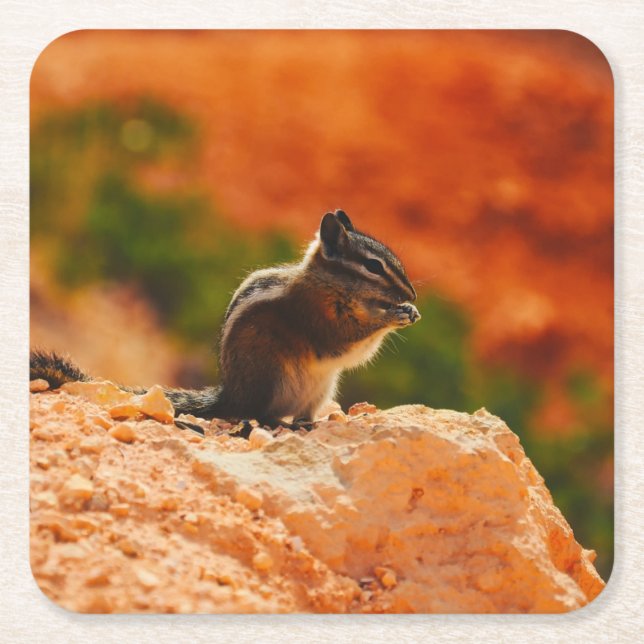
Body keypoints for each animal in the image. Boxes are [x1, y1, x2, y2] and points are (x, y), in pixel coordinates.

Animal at [30, 209, 421, 430]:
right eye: (373, 266)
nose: (413, 295)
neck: (326, 283)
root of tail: (229, 395)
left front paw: (409, 311)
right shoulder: (317, 317)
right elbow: (348, 342)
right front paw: (394, 315)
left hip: (321, 388)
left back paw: (313, 422)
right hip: (271, 376)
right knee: (258, 413)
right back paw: (277, 422)